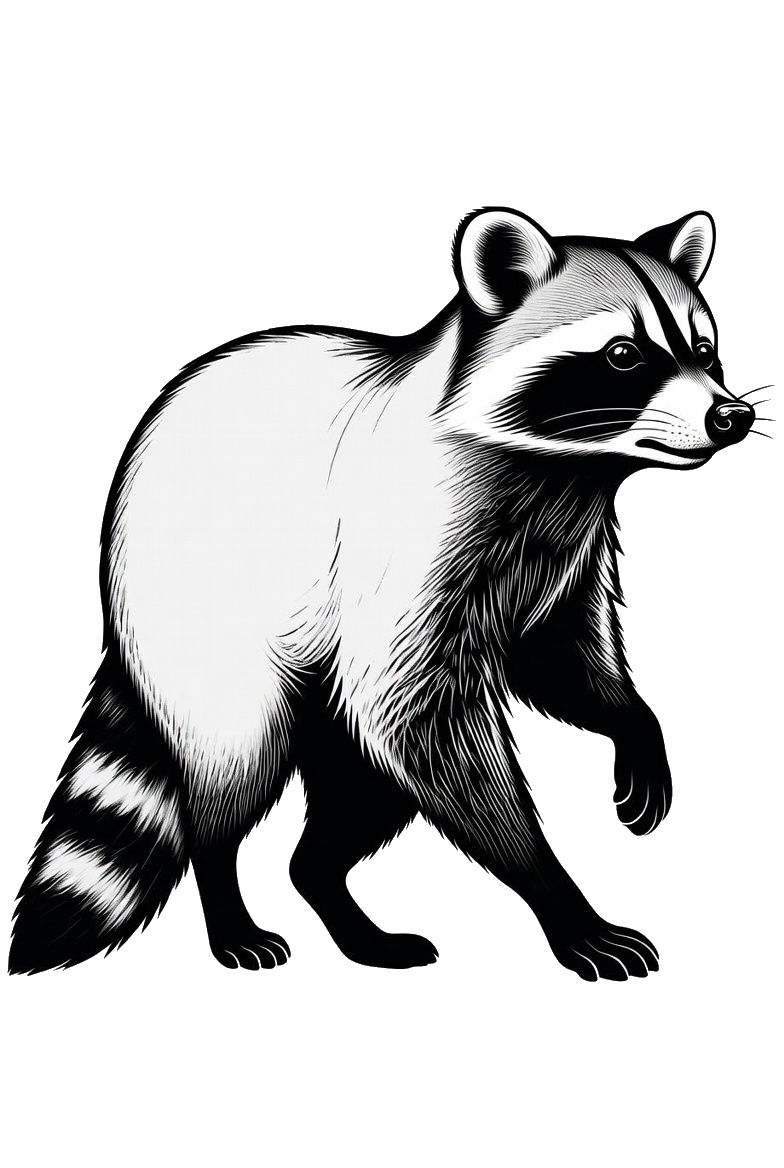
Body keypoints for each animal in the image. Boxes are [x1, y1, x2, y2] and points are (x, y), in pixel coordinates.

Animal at [10, 207, 756, 981]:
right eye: (623, 355)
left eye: (705, 351)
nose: (730, 416)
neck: (568, 469)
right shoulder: (403, 545)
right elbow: (420, 716)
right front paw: (558, 895)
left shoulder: (559, 559)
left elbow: (560, 659)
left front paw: (634, 722)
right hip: (206, 623)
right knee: (237, 766)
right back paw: (225, 895)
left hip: (321, 695)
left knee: (360, 793)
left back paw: (335, 898)